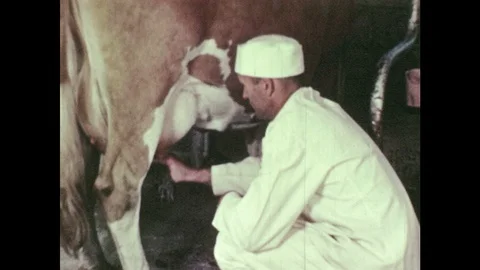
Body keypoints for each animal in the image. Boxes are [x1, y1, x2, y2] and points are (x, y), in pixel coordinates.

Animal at [59, 1, 352, 268]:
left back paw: (99, 261)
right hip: (142, 100)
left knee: (81, 183)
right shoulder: (325, 63)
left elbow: (257, 154)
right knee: (119, 191)